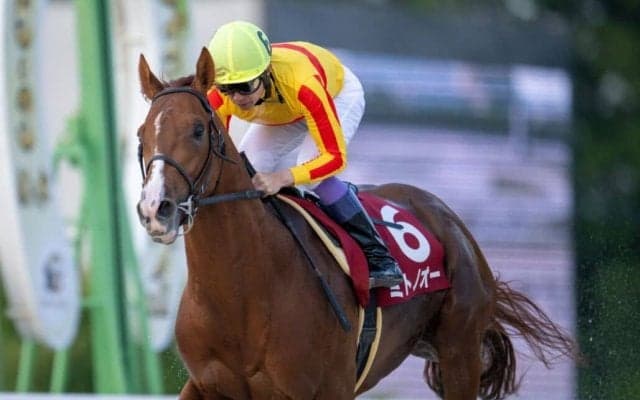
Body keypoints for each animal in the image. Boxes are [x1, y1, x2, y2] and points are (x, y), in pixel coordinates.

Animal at [135, 47, 578, 400]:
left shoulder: (327, 388)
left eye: (197, 130)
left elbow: (331, 156)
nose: (156, 208)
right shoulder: (206, 385)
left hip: (460, 352)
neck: (243, 293)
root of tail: (450, 220)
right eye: (141, 134)